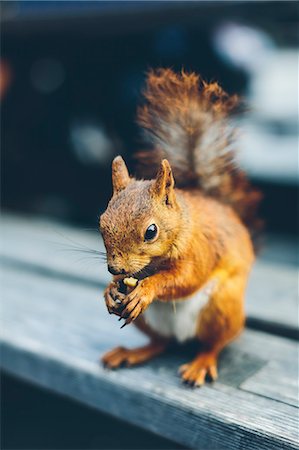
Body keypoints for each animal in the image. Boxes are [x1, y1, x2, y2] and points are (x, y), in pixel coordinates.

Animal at [99, 68, 262, 384]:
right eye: (101, 223)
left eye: (151, 231)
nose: (114, 269)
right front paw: (110, 290)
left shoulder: (201, 249)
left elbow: (185, 278)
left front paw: (147, 289)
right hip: (150, 323)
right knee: (160, 343)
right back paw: (131, 353)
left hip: (222, 308)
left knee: (214, 344)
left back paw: (201, 363)